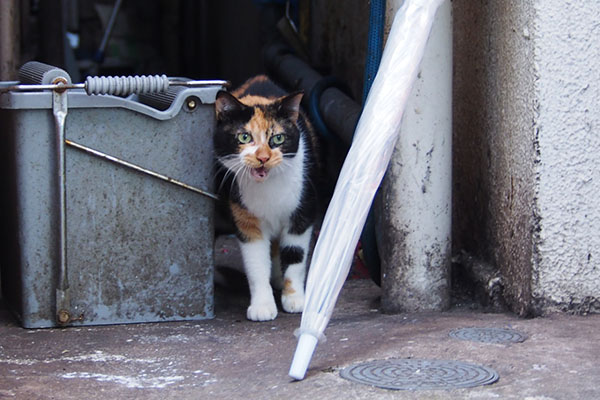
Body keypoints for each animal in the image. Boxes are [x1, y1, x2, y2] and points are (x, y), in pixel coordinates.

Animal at [214, 75, 322, 322]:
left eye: (278, 138)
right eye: (244, 137)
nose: (263, 158)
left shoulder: (303, 213)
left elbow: (295, 257)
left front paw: (295, 299)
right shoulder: (245, 219)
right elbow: (256, 265)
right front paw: (262, 306)